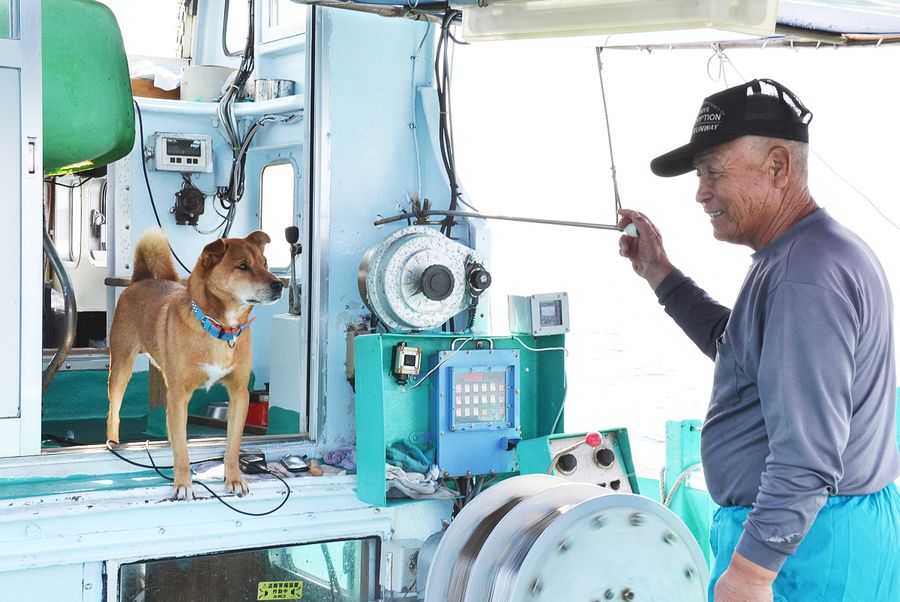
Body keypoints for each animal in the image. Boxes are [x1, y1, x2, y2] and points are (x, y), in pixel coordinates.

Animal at [109, 227, 284, 500]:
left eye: (265, 263)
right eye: (243, 266)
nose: (279, 284)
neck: (220, 327)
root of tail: (140, 281)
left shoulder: (239, 394)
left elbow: (233, 445)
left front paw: (234, 478)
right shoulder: (180, 394)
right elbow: (182, 448)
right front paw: (183, 483)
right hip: (121, 366)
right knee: (113, 412)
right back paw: (113, 442)